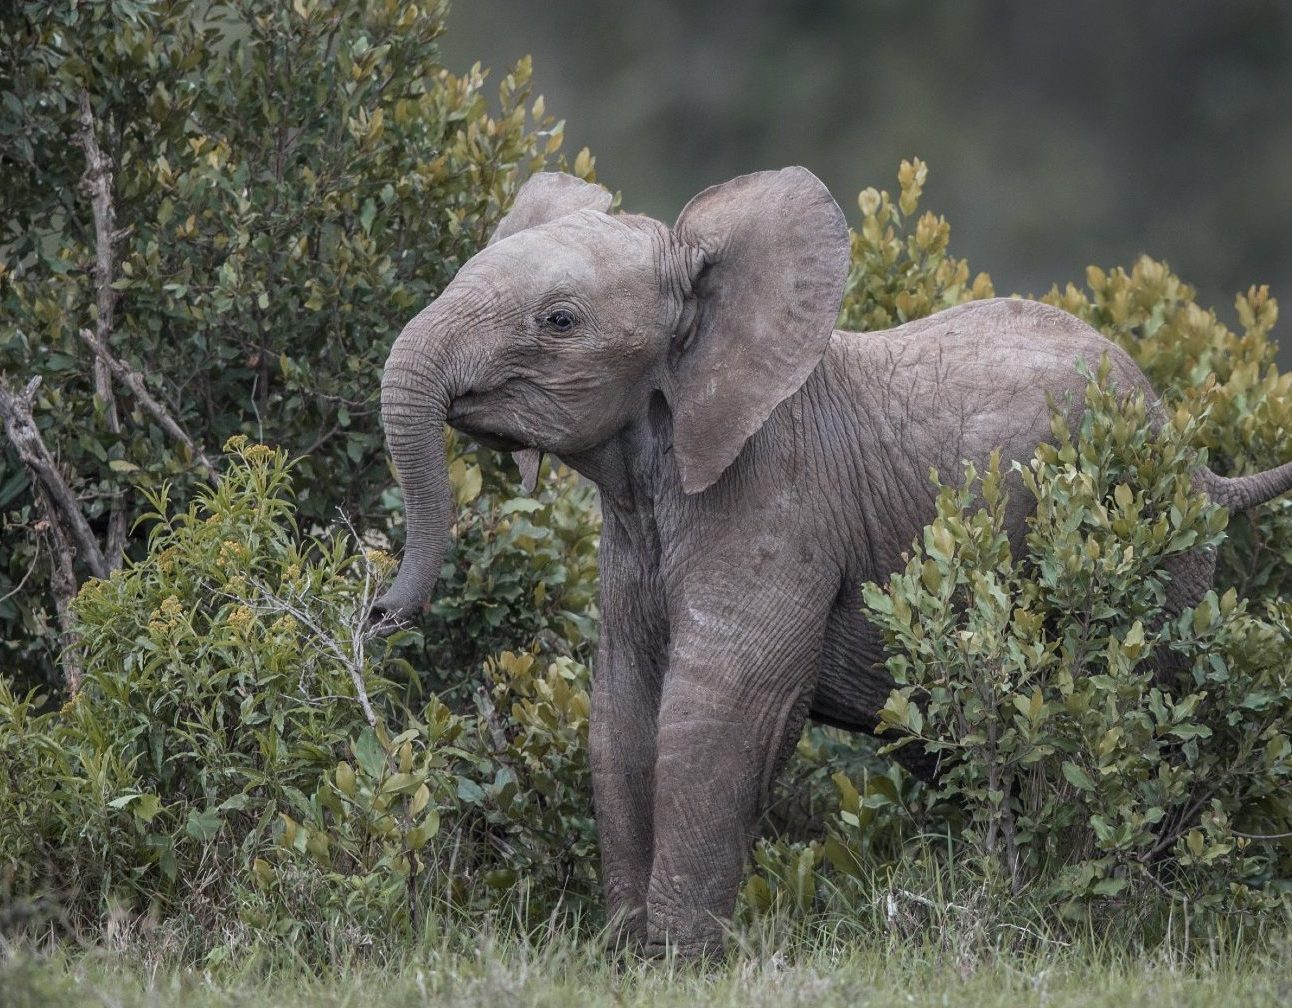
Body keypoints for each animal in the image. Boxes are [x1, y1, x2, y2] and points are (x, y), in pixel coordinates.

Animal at [372, 166, 1292, 961]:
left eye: (559, 322)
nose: (378, 615)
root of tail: (1195, 455)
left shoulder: (778, 497)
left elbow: (717, 710)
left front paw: (677, 961)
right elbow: (623, 712)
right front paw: (623, 952)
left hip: (1156, 555)